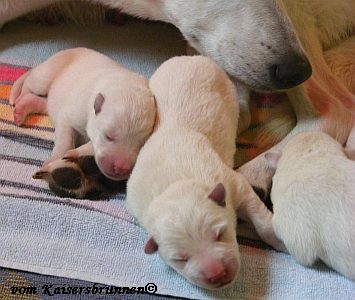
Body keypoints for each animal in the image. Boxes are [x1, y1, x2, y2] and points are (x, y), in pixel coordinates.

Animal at [126, 55, 286, 290]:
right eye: (181, 258)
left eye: (219, 234)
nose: (217, 273)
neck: (176, 184)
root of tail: (191, 57)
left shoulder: (233, 182)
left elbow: (261, 219)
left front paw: (280, 240)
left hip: (227, 90)